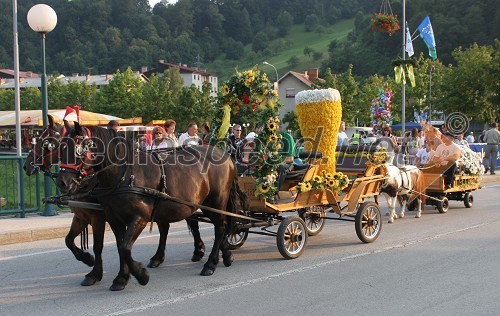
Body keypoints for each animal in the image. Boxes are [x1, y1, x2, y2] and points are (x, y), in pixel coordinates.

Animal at [23, 117, 206, 288]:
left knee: (190, 222)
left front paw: (95, 272)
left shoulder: (97, 217)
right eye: (61, 147)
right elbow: (69, 240)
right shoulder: (82, 216)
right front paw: (87, 259)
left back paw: (198, 250)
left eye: (48, 143)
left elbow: (98, 246)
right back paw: (160, 257)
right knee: (168, 227)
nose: (26, 166)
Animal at [56, 123, 248, 292]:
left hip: (215, 202)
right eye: (61, 148)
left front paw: (140, 275)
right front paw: (120, 278)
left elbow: (123, 248)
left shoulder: (136, 217)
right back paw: (222, 255)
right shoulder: (112, 218)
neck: (125, 174)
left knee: (220, 227)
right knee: (207, 226)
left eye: (78, 148)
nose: (63, 182)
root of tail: (226, 156)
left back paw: (210, 263)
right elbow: (116, 246)